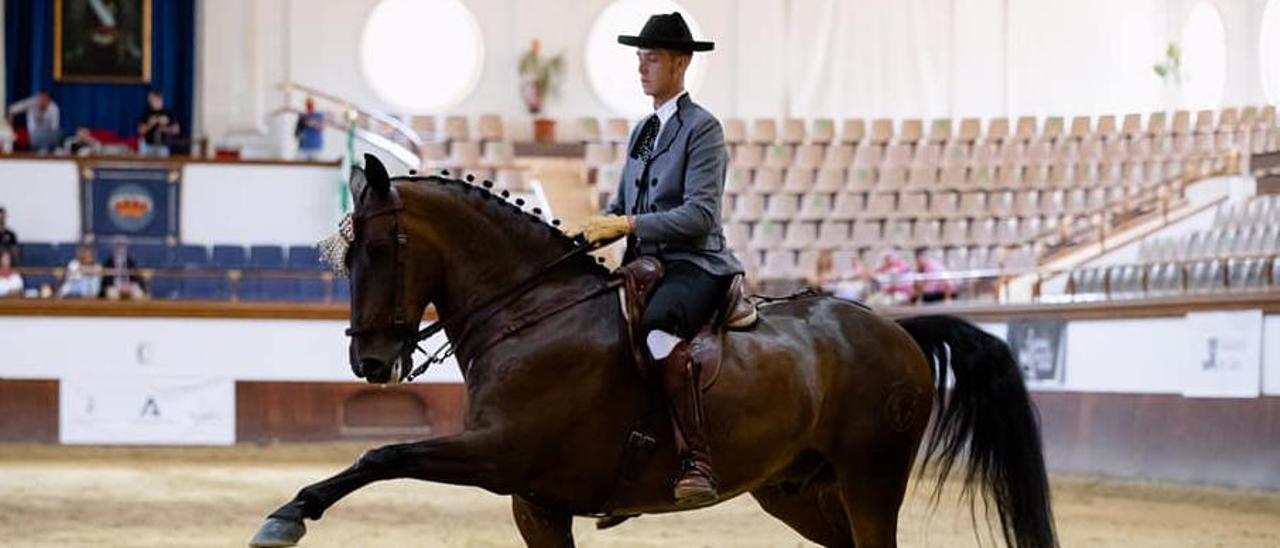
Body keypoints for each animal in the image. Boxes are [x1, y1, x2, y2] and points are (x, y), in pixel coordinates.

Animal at [249, 154, 1059, 548]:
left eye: (379, 250)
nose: (370, 364)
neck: (530, 313)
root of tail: (895, 328)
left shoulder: (500, 453)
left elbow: (382, 454)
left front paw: (287, 516)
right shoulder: (535, 503)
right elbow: (385, 456)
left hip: (870, 477)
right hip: (795, 489)